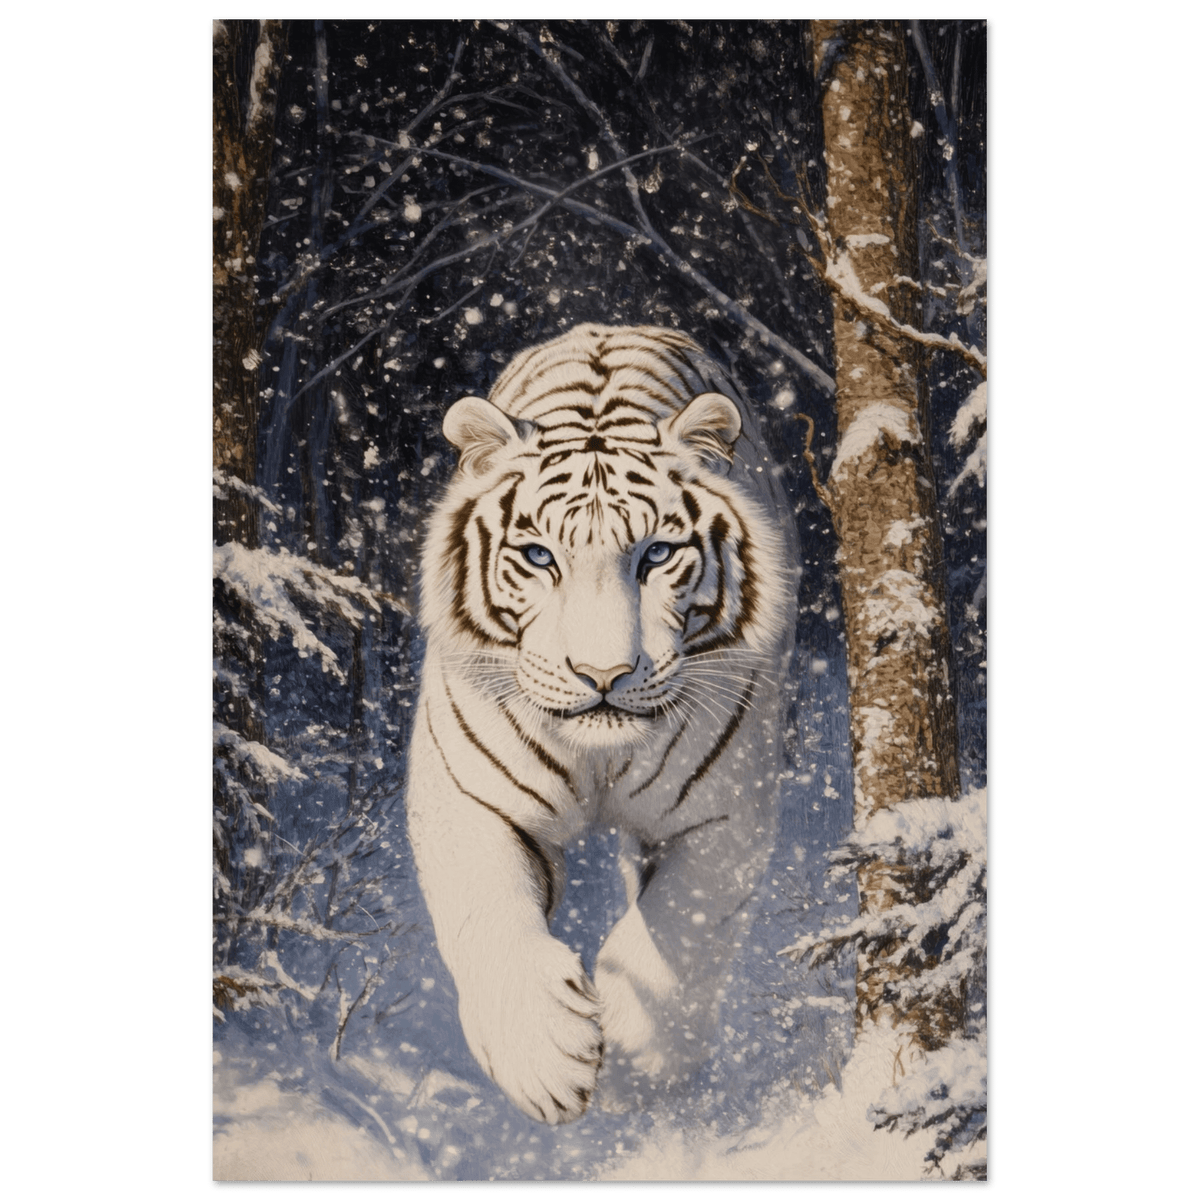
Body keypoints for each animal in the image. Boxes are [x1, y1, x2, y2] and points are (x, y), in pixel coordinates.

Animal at [405, 323, 799, 1124]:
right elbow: (487, 911)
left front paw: (638, 1066)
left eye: (657, 553)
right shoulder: (466, 796)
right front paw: (542, 1058)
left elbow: (678, 932)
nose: (603, 676)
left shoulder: (723, 812)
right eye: (537, 556)